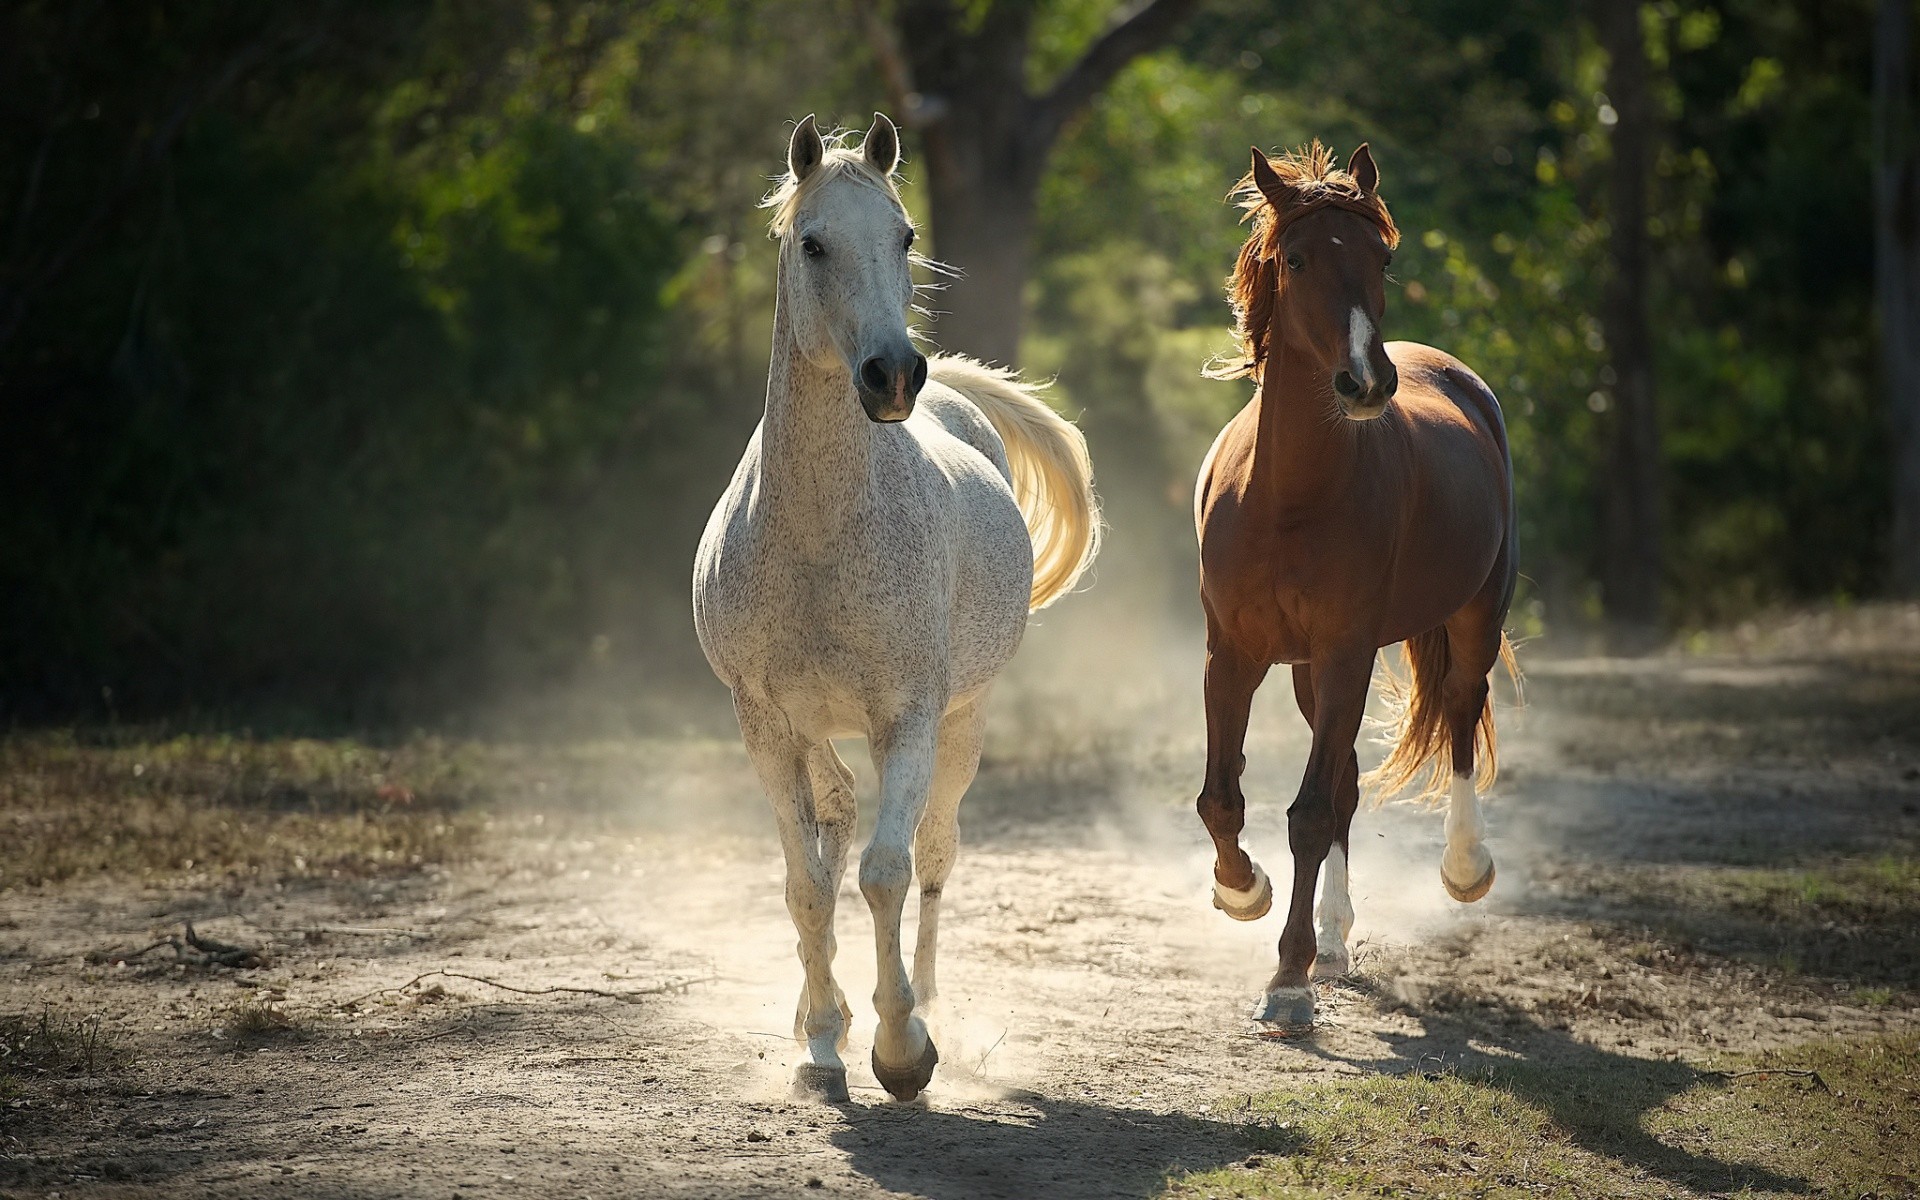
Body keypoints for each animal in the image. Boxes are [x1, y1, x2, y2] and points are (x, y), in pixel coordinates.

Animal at [698, 117, 1105, 1098]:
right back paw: (825, 1019)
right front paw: (820, 1045)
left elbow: (884, 873)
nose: (892, 376)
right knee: (838, 817)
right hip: (814, 729)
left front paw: (902, 1047)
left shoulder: (909, 718)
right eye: (813, 243)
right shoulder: (763, 722)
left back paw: (927, 1011)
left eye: (905, 236)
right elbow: (807, 882)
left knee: (932, 854)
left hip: (965, 722)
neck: (818, 536)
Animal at [1198, 140, 1512, 1021]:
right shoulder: (1233, 654)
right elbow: (1223, 798)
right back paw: (1335, 941)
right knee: (1343, 785)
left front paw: (1287, 978)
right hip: (1307, 670)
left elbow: (1306, 813)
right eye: (1297, 259)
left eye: (1384, 258)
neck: (1289, 498)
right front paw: (1243, 890)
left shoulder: (1346, 651)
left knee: (1460, 712)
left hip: (1475, 613)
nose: (1367, 382)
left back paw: (1464, 868)